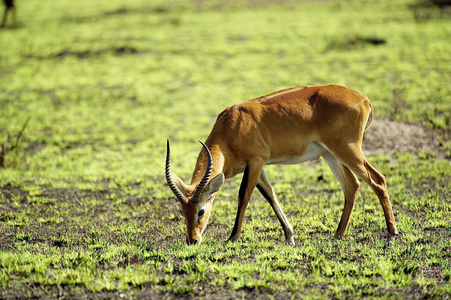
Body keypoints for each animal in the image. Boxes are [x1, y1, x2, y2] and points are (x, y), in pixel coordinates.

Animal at [166, 84, 400, 244]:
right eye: (182, 211)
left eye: (201, 211)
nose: (192, 240)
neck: (232, 126)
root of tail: (364, 98)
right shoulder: (258, 167)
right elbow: (271, 195)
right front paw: (289, 236)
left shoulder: (256, 162)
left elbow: (244, 196)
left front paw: (232, 237)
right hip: (331, 155)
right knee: (352, 186)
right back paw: (338, 234)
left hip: (347, 151)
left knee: (378, 180)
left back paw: (392, 233)